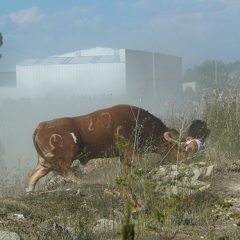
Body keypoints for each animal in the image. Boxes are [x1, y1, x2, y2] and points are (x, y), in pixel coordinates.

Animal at [28, 104, 185, 192]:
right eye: (178, 147)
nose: (185, 157)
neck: (138, 120)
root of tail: (41, 125)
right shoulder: (128, 148)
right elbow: (128, 166)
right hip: (67, 155)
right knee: (64, 171)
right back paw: (85, 181)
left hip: (45, 161)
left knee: (33, 174)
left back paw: (31, 191)